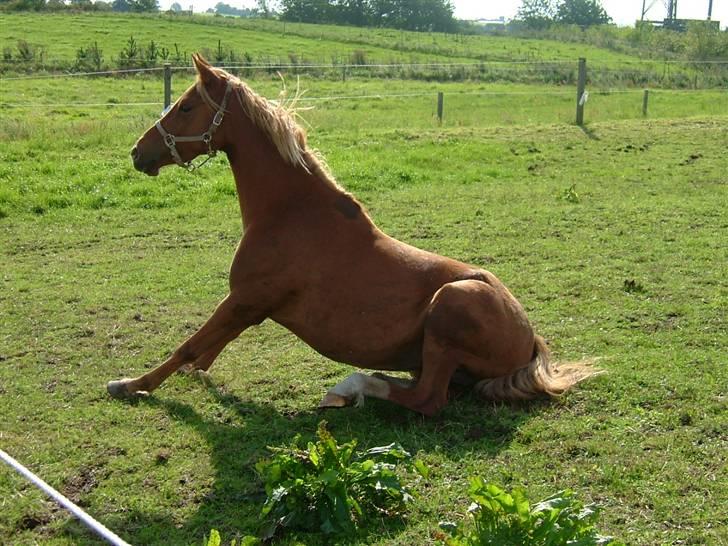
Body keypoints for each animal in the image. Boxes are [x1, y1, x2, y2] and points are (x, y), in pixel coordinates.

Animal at [106, 54, 596, 412]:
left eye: (186, 106)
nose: (137, 152)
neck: (292, 214)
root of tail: (529, 338)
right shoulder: (249, 309)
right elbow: (206, 351)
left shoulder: (244, 300)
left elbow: (188, 347)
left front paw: (129, 384)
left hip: (450, 308)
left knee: (427, 400)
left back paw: (352, 387)